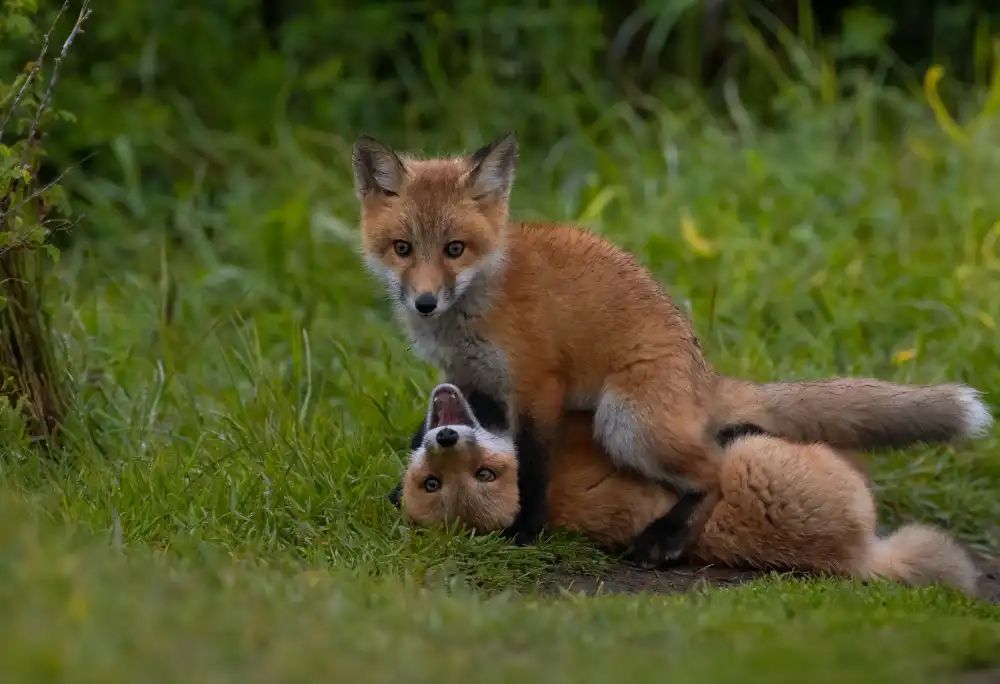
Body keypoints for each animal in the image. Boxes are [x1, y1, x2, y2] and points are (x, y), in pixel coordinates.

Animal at [353, 132, 994, 563]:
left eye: (455, 249)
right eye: (403, 248)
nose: (425, 303)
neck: (475, 308)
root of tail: (701, 377)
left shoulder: (538, 385)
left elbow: (532, 467)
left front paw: (524, 532)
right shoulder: (472, 380)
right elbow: (470, 431)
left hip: (625, 422)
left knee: (714, 469)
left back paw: (668, 540)